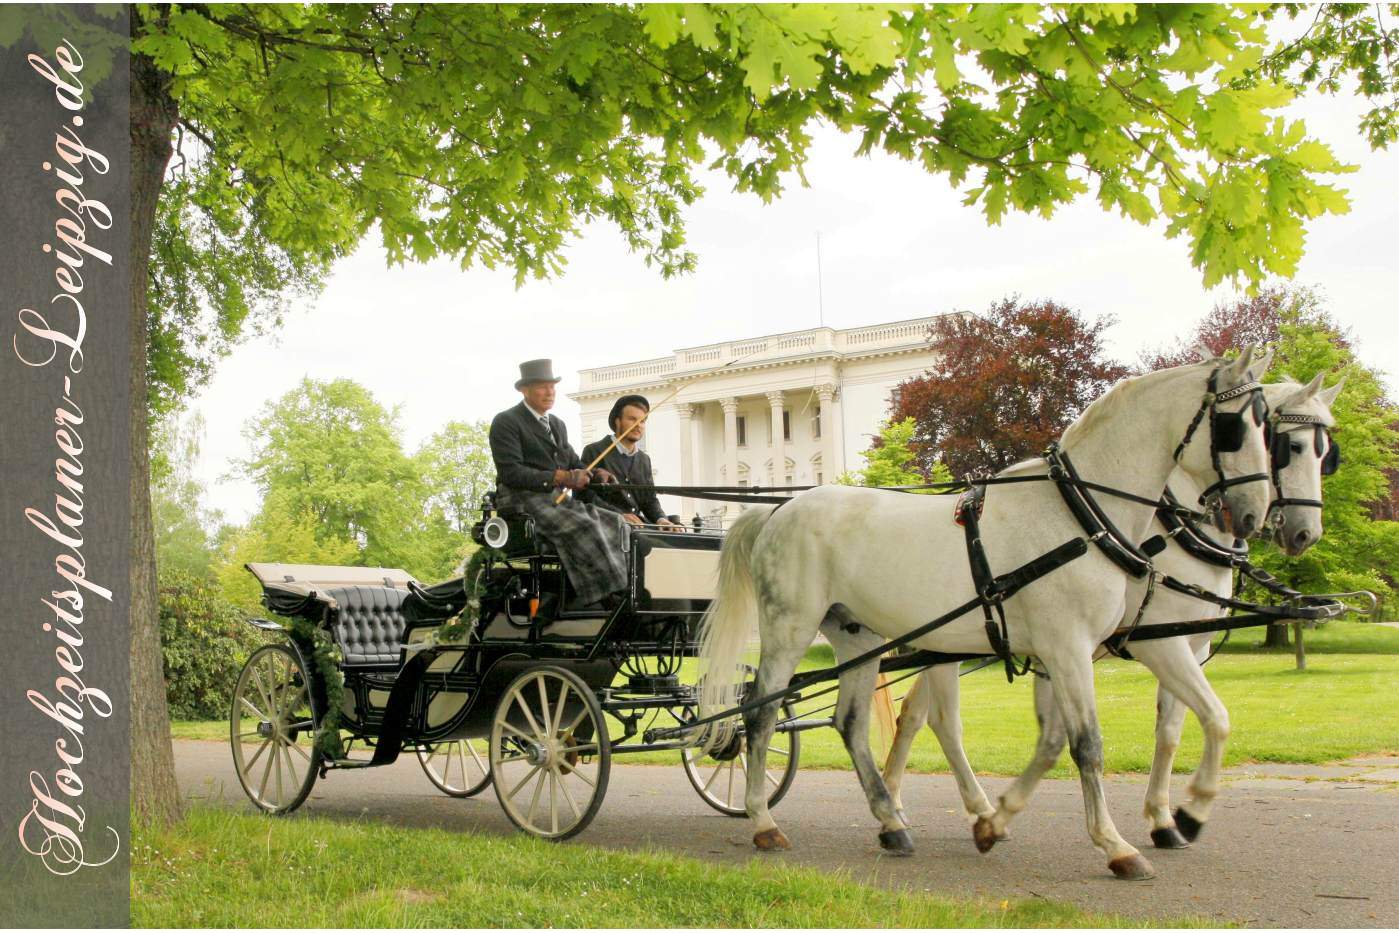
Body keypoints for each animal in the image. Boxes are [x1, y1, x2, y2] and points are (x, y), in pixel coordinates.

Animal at [699, 352, 1281, 884]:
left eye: (1269, 428)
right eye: (1235, 427)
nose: (1256, 515)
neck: (1078, 514)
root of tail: (778, 509)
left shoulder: (1079, 650)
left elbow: (1081, 738)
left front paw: (999, 822)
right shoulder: (1071, 646)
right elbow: (1087, 744)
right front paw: (1119, 844)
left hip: (857, 636)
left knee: (851, 722)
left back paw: (892, 823)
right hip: (789, 627)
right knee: (761, 713)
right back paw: (763, 821)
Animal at [878, 374, 1348, 856]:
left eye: (1326, 454)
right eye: (1288, 445)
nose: (1305, 533)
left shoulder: (1187, 642)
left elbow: (1169, 729)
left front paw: (1163, 819)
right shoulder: (1150, 640)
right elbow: (1193, 720)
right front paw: (1179, 814)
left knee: (912, 714)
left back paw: (908, 804)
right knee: (942, 721)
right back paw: (952, 808)